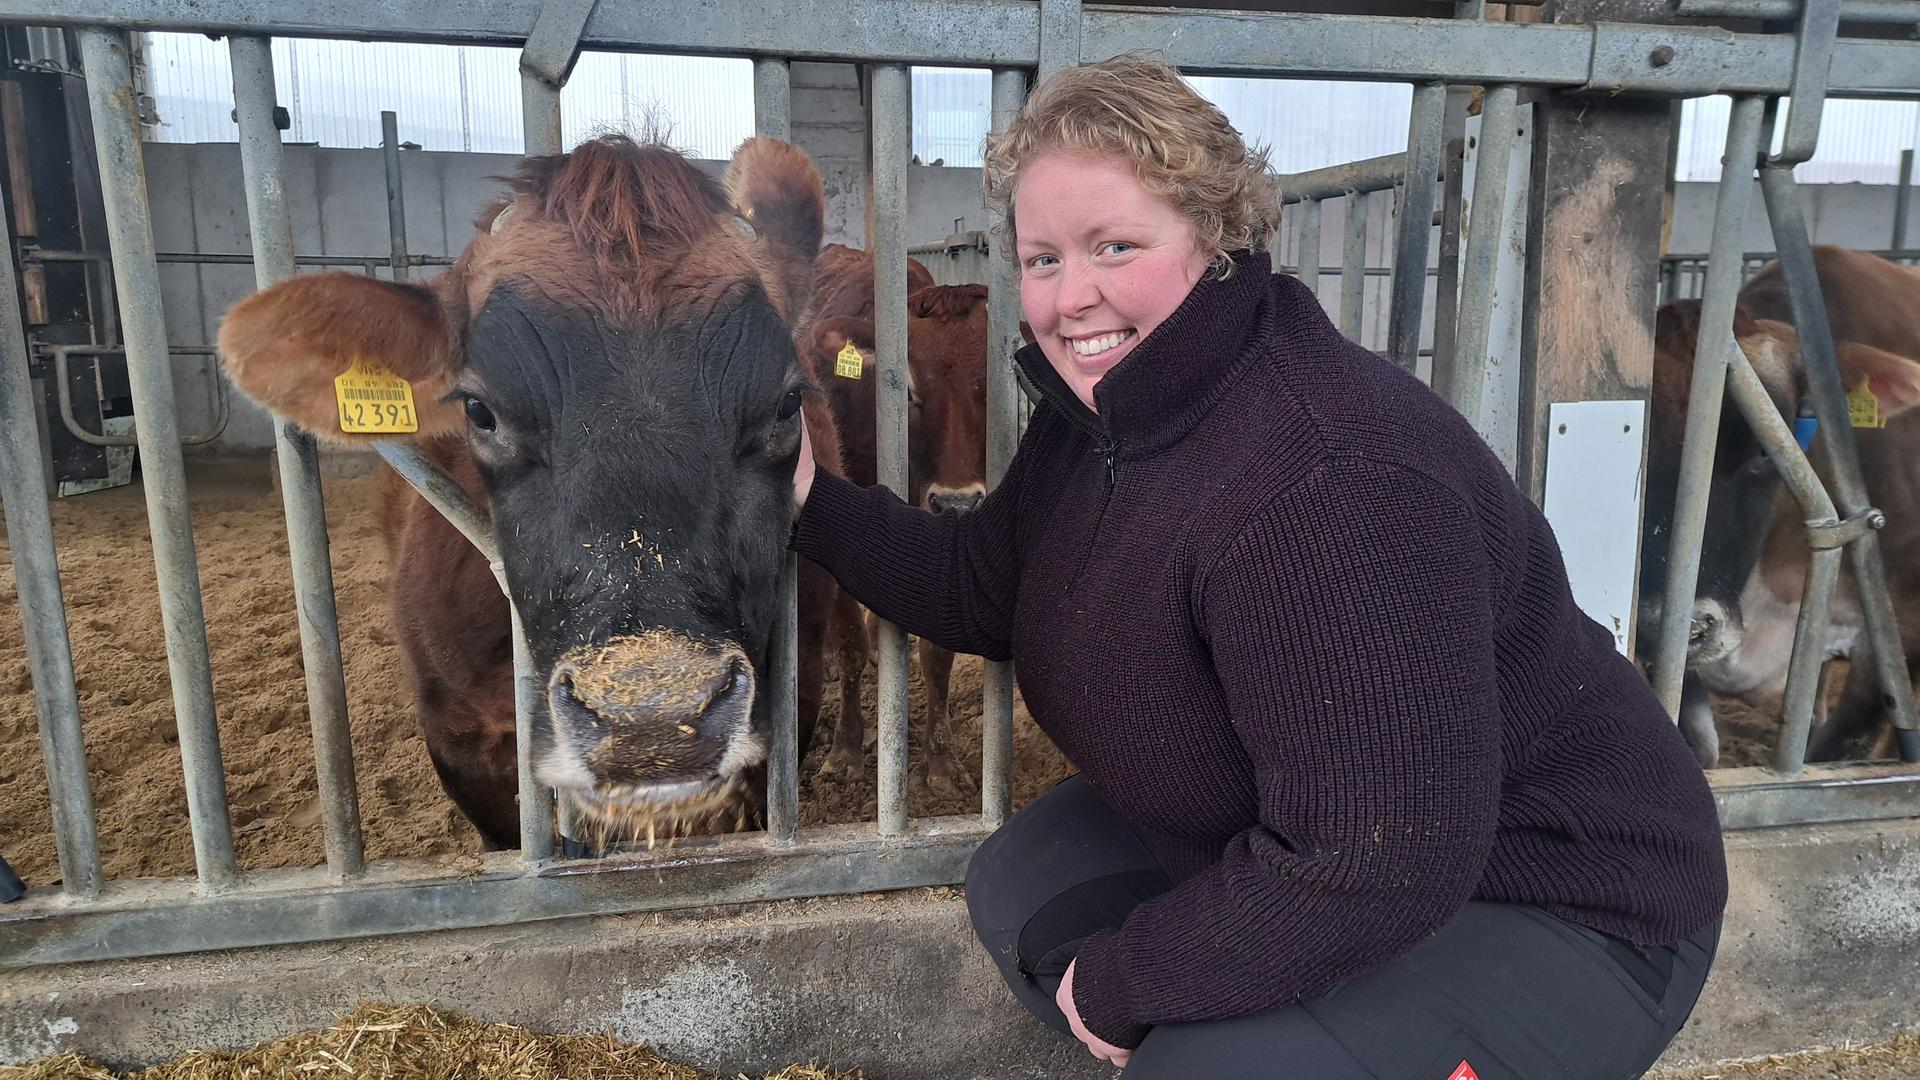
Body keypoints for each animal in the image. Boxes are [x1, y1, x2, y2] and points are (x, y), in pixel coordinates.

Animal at [799, 244, 991, 795]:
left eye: (990, 380)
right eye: (904, 388)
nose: (956, 504)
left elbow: (937, 655)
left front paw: (941, 762)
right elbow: (848, 644)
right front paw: (845, 750)